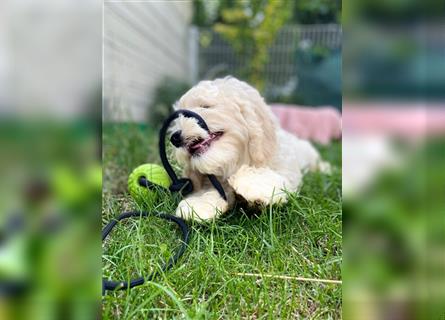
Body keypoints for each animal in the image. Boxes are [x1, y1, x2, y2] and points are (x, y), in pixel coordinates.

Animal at [168, 76, 328, 221]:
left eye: (205, 106)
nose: (175, 138)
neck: (236, 160)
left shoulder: (286, 168)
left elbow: (274, 178)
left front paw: (254, 186)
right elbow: (214, 190)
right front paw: (198, 206)